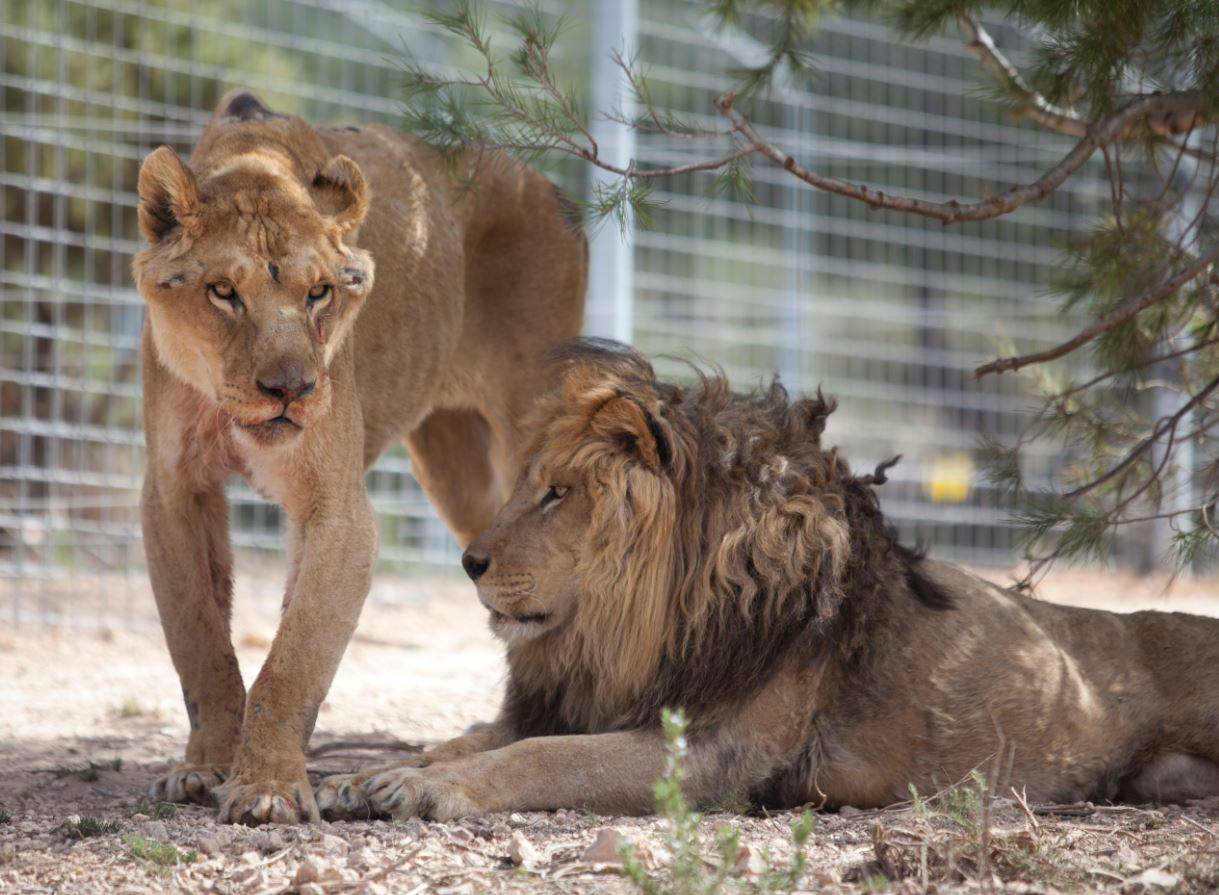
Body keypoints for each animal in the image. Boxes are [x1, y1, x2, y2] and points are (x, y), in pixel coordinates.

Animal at [132, 89, 585, 824]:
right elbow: (199, 641)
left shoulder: (336, 506)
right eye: (223, 291)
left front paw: (267, 787)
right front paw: (204, 767)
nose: (290, 389)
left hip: (530, 426)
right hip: (458, 470)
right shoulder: (174, 493)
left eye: (319, 292)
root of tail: (545, 183)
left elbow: (294, 659)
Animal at [316, 339, 1219, 821]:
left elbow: (539, 757)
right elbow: (471, 736)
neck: (628, 629)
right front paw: (365, 774)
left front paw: (422, 787)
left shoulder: (712, 754)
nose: (469, 561)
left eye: (556, 493)